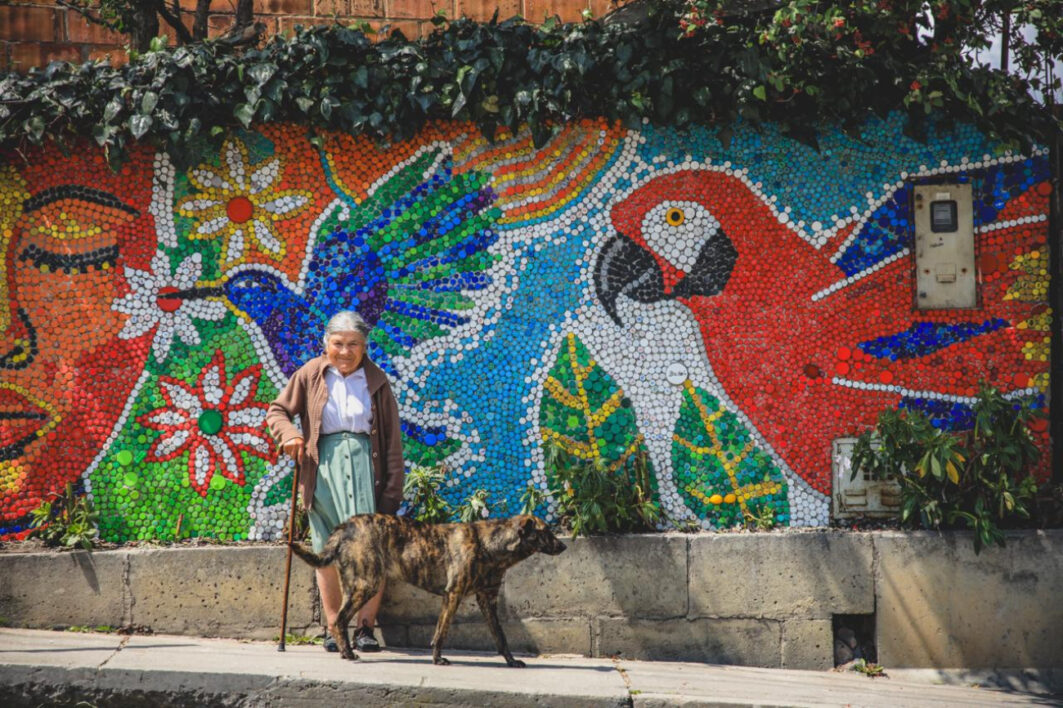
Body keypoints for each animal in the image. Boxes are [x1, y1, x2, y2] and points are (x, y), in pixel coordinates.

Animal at [291, 510, 565, 663]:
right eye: (546, 531)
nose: (564, 546)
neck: (492, 545)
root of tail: (344, 526)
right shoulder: (452, 595)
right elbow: (441, 633)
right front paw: (437, 659)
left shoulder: (488, 601)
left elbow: (500, 636)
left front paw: (511, 661)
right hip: (365, 584)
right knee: (338, 620)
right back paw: (347, 654)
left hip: (355, 585)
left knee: (339, 620)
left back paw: (344, 651)